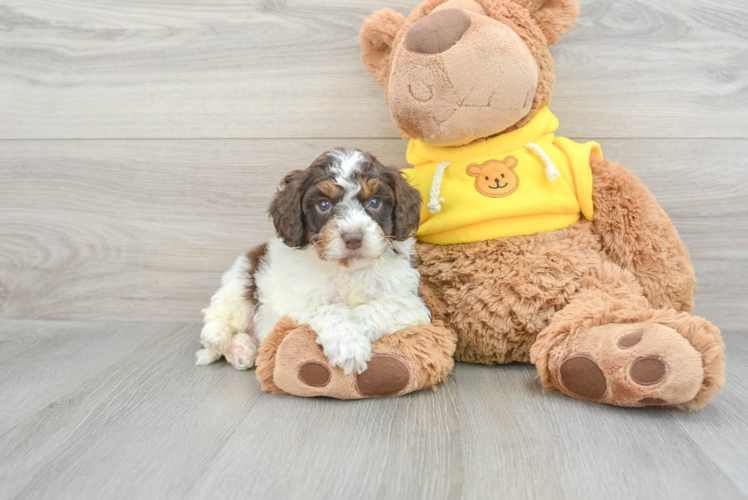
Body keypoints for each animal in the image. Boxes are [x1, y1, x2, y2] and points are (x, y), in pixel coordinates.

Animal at [197, 150, 432, 374]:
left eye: (374, 202)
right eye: (324, 204)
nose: (353, 238)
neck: (347, 270)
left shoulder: (412, 304)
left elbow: (377, 308)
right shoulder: (295, 302)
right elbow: (330, 310)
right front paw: (349, 346)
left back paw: (242, 350)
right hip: (241, 280)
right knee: (219, 315)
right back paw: (216, 336)